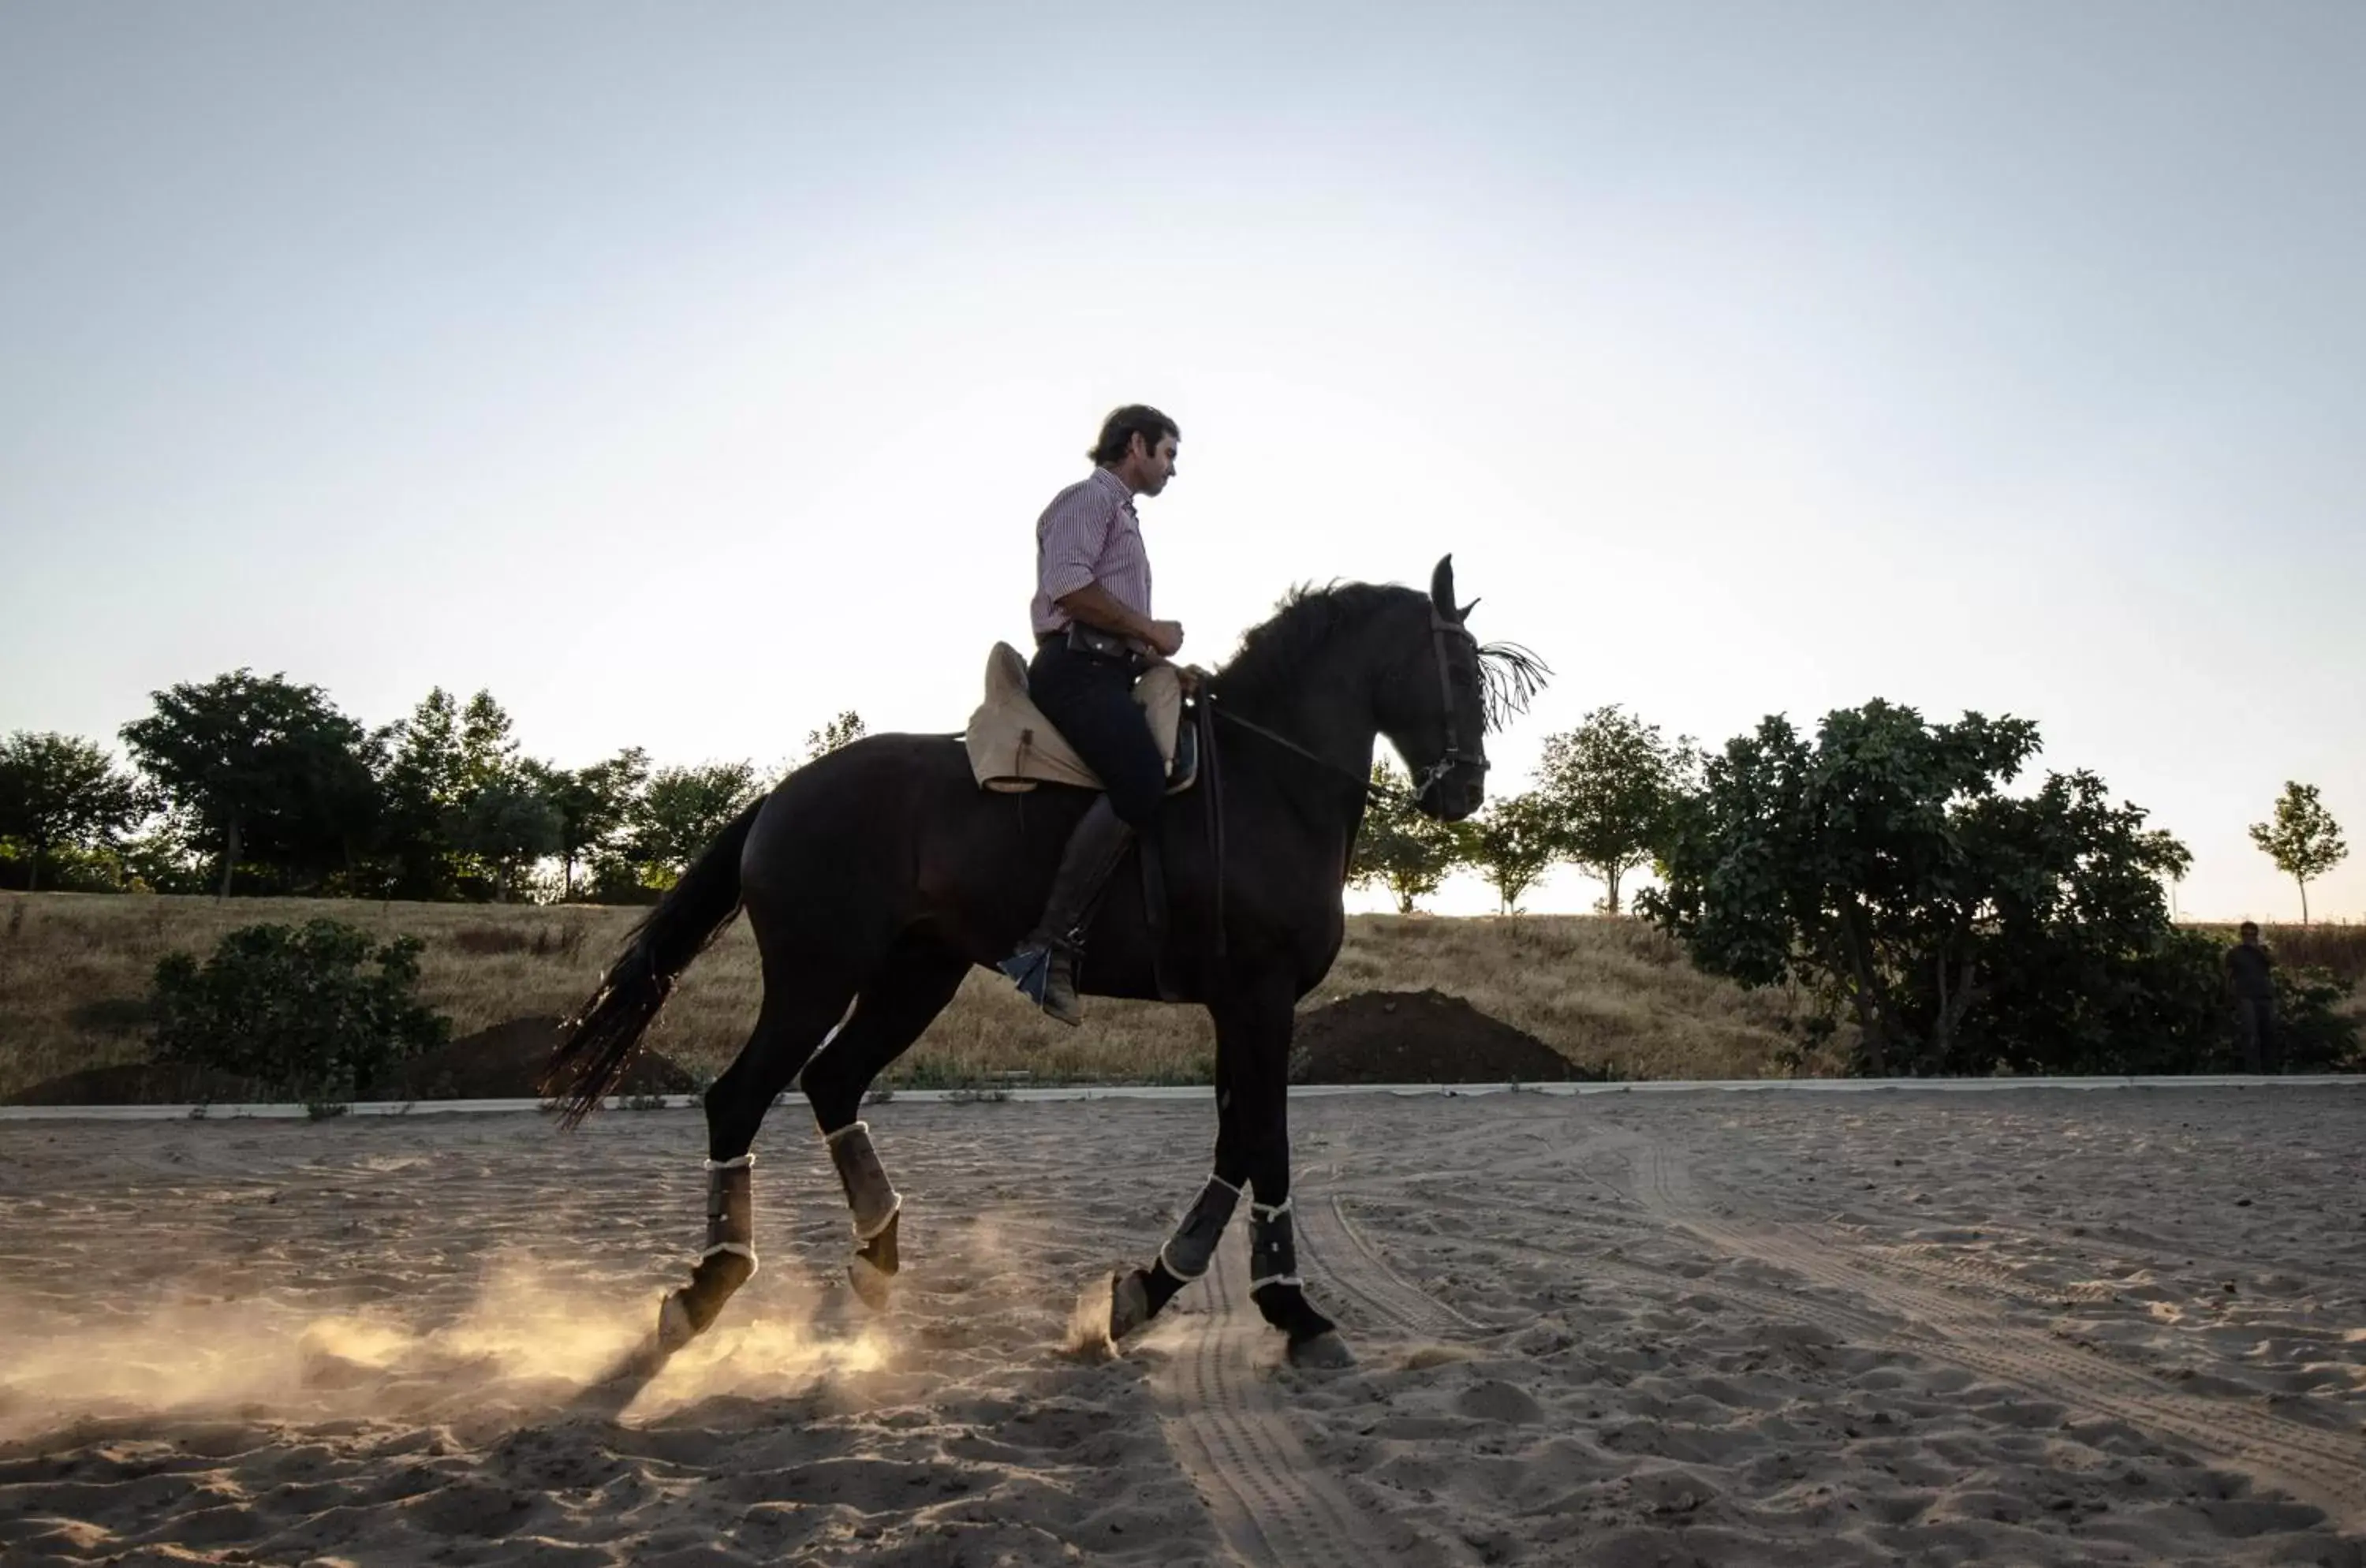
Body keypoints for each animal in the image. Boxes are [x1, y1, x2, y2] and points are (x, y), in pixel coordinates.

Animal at [549, 558, 1552, 1372]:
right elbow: (1266, 1144)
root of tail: (783, 793)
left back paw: (876, 1261)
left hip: (917, 975)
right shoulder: (1260, 997)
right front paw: (1293, 1311)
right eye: (1457, 668)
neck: (1268, 780)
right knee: (740, 1097)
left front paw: (1149, 1290)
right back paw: (704, 1292)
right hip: (815, 977)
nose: (1466, 789)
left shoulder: (1240, 1006)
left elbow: (1236, 1143)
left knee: (832, 1081)